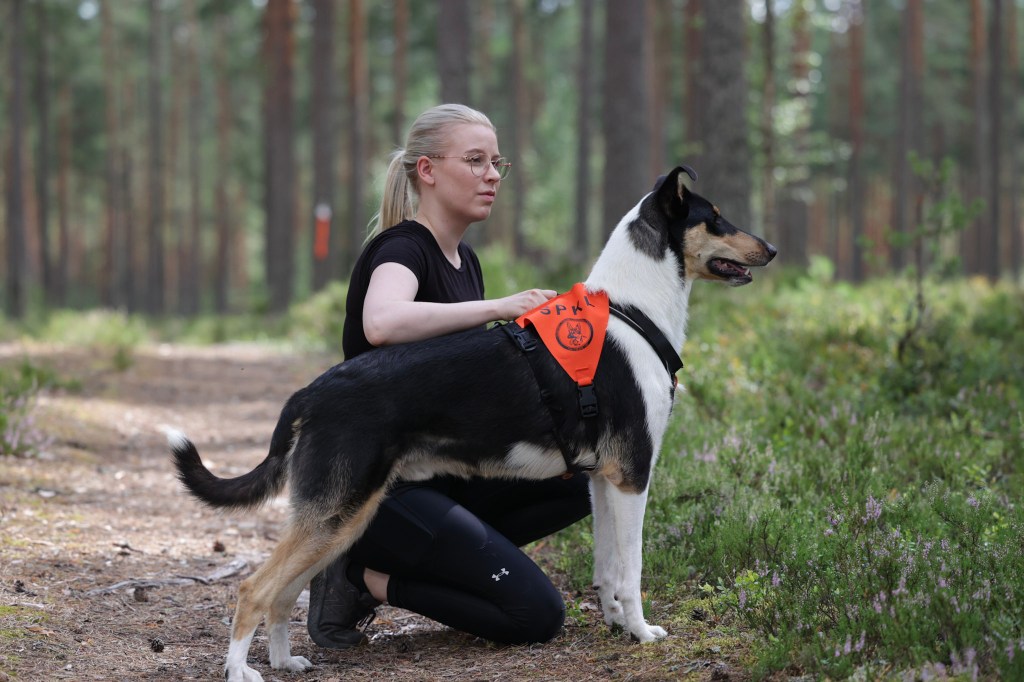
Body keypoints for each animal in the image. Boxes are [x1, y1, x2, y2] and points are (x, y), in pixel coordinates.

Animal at [169, 165, 776, 681]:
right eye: (715, 216)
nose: (771, 248)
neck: (634, 311)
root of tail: (310, 391)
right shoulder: (633, 475)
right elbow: (632, 570)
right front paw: (643, 633)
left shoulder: (602, 480)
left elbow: (608, 568)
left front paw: (615, 625)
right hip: (339, 507)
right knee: (254, 588)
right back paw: (242, 669)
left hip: (339, 512)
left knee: (285, 591)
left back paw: (284, 659)